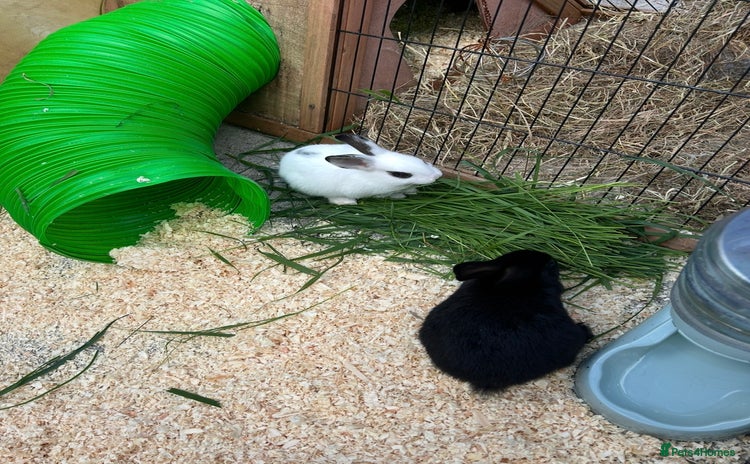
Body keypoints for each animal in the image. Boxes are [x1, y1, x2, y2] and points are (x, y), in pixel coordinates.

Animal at [278, 133, 442, 205]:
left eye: (421, 160)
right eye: (399, 174)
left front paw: (411, 191)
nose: (437, 175)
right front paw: (400, 196)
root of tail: (284, 162)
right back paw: (347, 202)